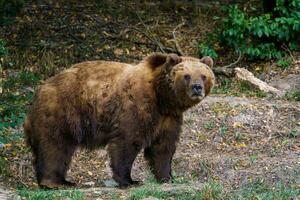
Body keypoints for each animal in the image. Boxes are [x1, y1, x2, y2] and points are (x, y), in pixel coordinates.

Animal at [24, 52, 216, 188]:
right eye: (186, 75)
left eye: (203, 75)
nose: (197, 88)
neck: (162, 97)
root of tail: (40, 90)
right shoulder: (136, 107)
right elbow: (127, 142)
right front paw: (129, 180)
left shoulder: (168, 118)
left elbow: (163, 146)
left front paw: (167, 177)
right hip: (63, 112)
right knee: (55, 146)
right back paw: (55, 182)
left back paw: (63, 181)